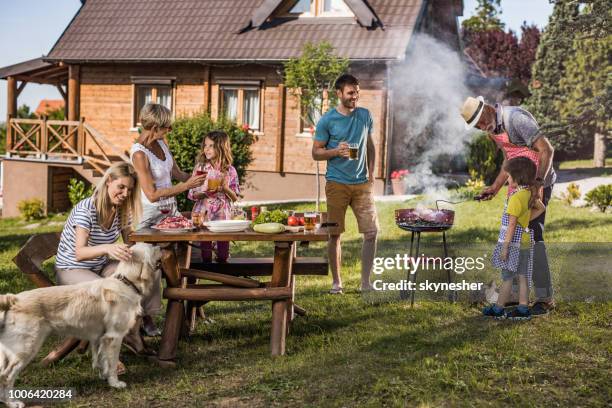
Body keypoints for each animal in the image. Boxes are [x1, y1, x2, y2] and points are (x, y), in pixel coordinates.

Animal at [0, 244, 161, 406]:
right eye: (152, 247)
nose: (160, 246)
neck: (126, 282)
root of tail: (13, 299)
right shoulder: (114, 336)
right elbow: (112, 362)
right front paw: (115, 383)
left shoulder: (100, 338)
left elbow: (101, 359)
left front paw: (104, 376)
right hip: (25, 348)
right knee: (6, 376)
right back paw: (12, 402)